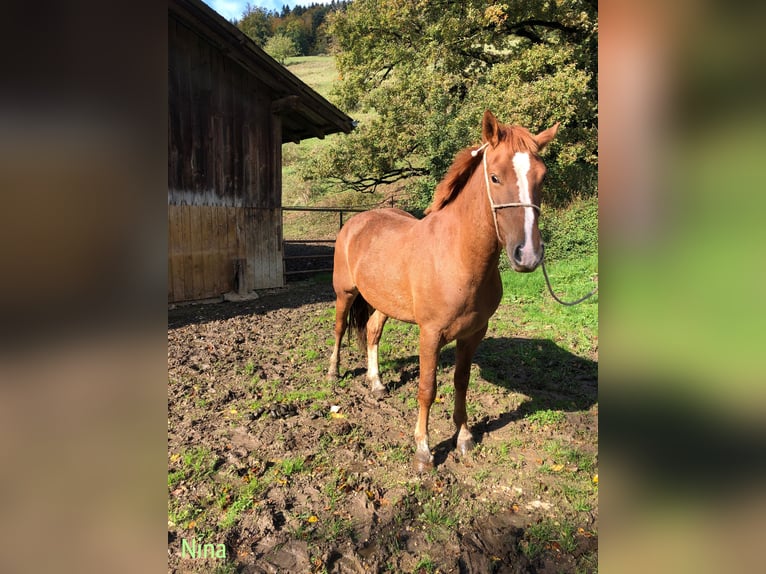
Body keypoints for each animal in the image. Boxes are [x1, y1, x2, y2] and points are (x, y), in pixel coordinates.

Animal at [328, 109, 560, 472]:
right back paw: (334, 374)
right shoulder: (430, 333)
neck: (457, 256)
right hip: (345, 293)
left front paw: (463, 438)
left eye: (542, 178)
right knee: (339, 329)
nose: (528, 254)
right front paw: (423, 451)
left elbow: (461, 383)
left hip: (383, 302)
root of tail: (355, 221)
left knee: (372, 331)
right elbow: (427, 388)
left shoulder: (474, 333)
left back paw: (377, 383)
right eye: (495, 178)